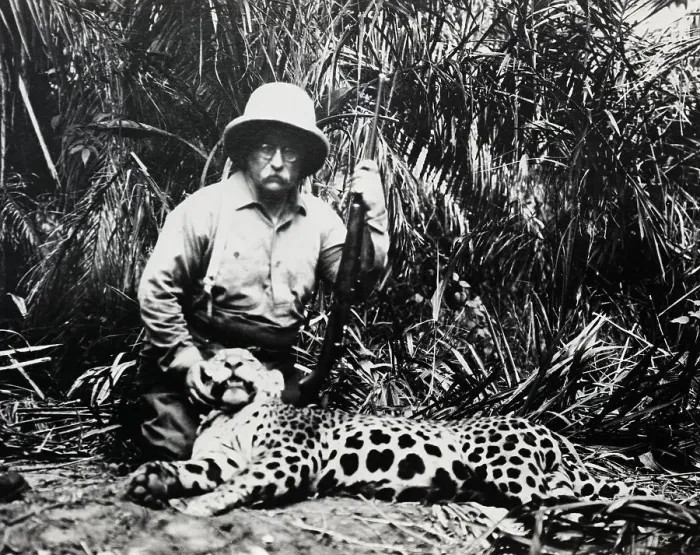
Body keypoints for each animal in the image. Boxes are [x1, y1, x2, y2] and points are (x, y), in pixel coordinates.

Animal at [126, 348, 652, 517]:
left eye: (251, 361)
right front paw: (152, 479)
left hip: (499, 459)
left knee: (553, 502)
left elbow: (237, 483)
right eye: (218, 360)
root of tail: (550, 430)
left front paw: (196, 506)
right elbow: (194, 467)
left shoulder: (288, 457)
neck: (229, 414)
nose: (234, 364)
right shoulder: (223, 458)